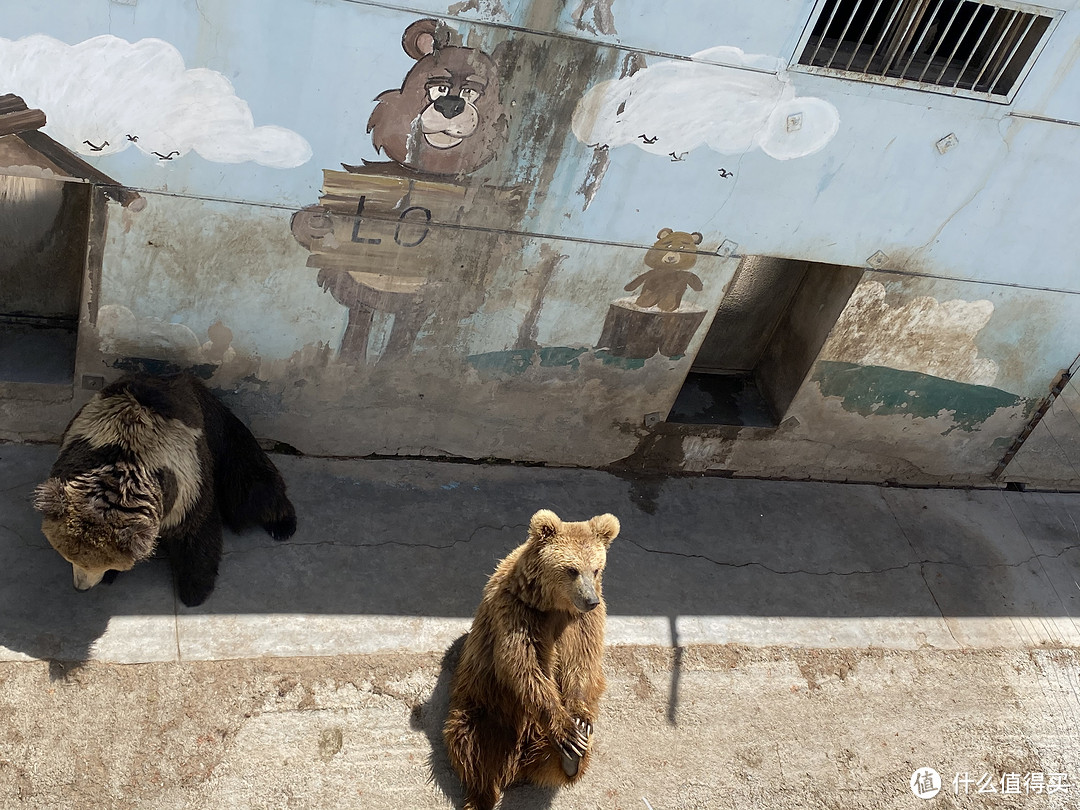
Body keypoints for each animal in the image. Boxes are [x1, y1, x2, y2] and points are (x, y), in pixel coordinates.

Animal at [444, 509, 617, 807]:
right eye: (572, 569)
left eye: (595, 569)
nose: (590, 599)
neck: (553, 605)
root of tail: (518, 764)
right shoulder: (518, 613)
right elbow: (525, 667)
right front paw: (567, 731)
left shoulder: (582, 623)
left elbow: (582, 663)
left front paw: (580, 721)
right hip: (487, 707)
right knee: (472, 745)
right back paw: (481, 794)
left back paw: (572, 759)